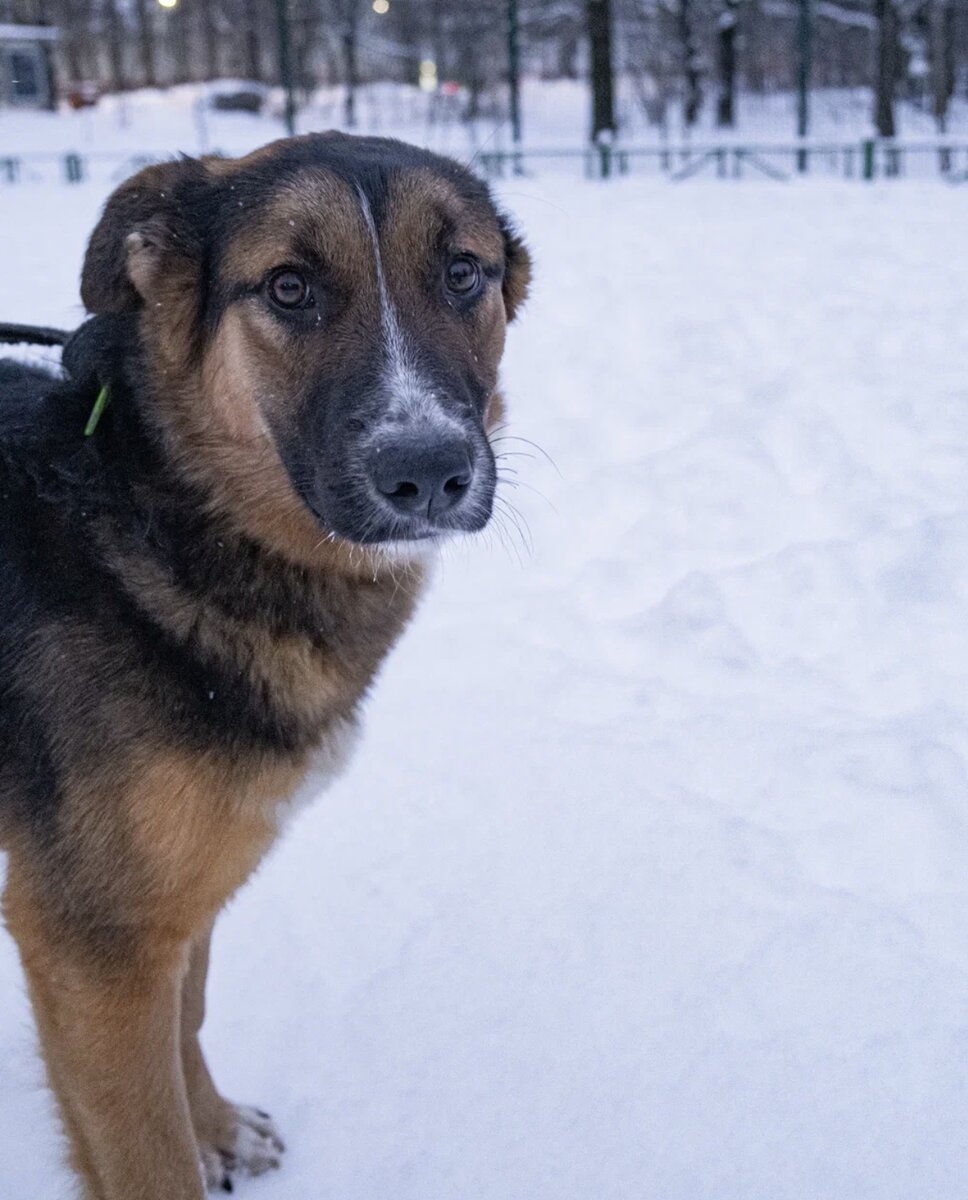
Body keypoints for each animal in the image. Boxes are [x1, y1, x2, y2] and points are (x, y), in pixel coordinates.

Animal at [0, 133, 530, 1200]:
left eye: (463, 273)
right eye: (289, 287)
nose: (428, 473)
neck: (162, 516)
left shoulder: (182, 884)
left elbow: (188, 1015)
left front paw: (214, 1129)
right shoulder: (90, 943)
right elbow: (146, 1153)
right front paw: (189, 1147)